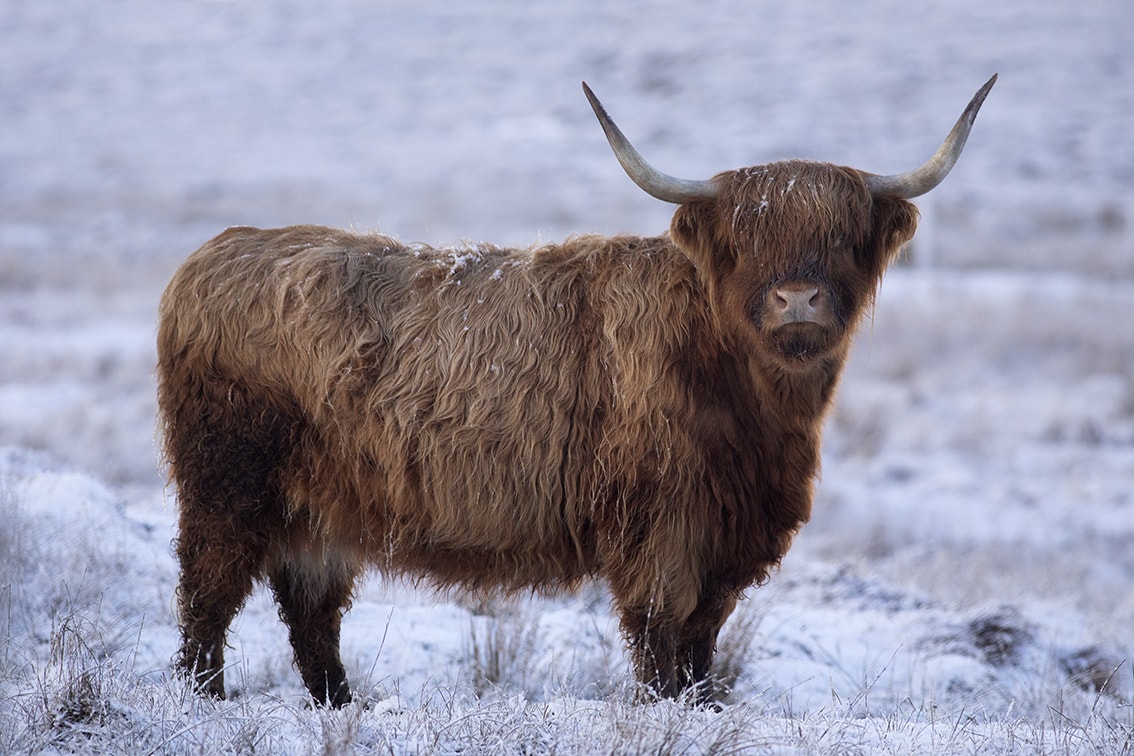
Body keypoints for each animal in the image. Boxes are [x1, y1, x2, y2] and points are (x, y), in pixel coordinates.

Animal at [157, 73, 993, 707]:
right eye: (745, 240)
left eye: (844, 236)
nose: (797, 299)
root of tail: (215, 253)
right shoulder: (658, 524)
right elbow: (661, 631)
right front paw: (666, 709)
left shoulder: (728, 535)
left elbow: (704, 638)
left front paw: (702, 706)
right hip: (227, 483)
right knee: (209, 589)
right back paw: (206, 697)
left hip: (320, 503)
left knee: (311, 608)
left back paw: (342, 703)